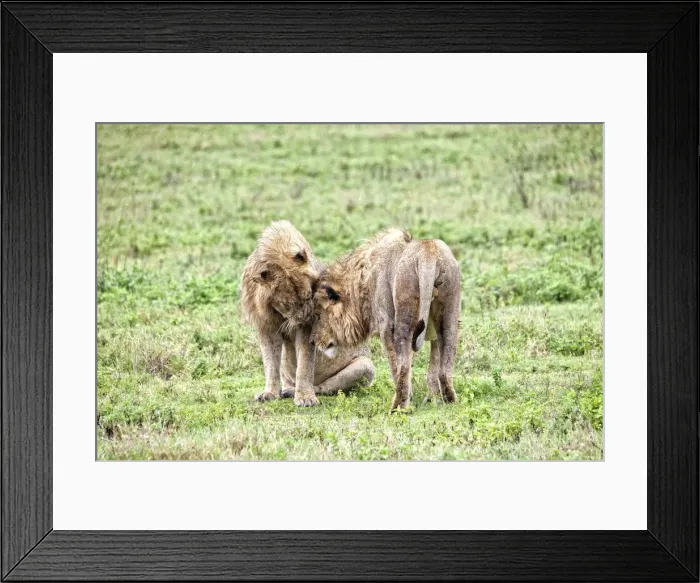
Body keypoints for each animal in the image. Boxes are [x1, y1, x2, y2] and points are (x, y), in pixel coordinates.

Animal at [240, 220, 374, 407]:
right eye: (287, 304)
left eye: (310, 294)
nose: (307, 317)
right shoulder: (266, 326)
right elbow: (270, 364)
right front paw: (269, 393)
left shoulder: (307, 329)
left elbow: (304, 364)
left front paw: (305, 397)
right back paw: (287, 389)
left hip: (365, 365)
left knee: (326, 387)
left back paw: (298, 391)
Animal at [311, 228, 460, 412]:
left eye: (318, 315)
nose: (313, 341)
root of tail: (428, 252)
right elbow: (435, 359)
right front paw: (433, 398)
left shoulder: (386, 324)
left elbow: (394, 363)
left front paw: (412, 396)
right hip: (450, 311)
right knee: (446, 361)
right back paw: (450, 400)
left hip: (404, 312)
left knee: (404, 365)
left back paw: (398, 407)